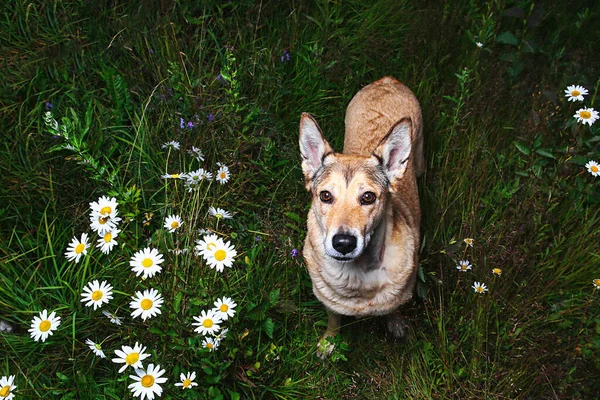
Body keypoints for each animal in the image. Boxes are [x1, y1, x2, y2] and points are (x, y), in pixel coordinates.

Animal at [298, 76, 422, 352]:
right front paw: (329, 342)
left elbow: (394, 308)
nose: (344, 243)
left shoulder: (403, 292)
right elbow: (334, 319)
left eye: (368, 197)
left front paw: (395, 323)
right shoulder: (329, 301)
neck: (359, 276)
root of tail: (388, 81)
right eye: (325, 196)